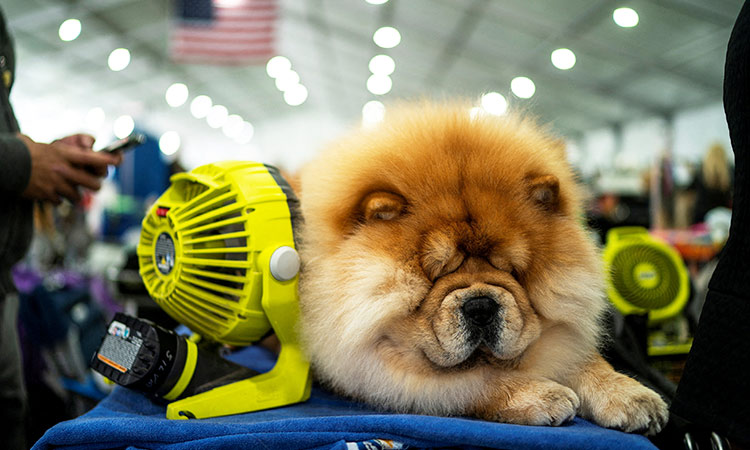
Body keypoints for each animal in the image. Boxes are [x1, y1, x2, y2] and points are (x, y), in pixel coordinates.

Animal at [296, 101, 668, 432]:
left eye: (513, 271)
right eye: (437, 273)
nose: (480, 306)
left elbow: (586, 360)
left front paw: (631, 395)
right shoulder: (375, 372)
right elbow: (475, 381)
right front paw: (543, 395)